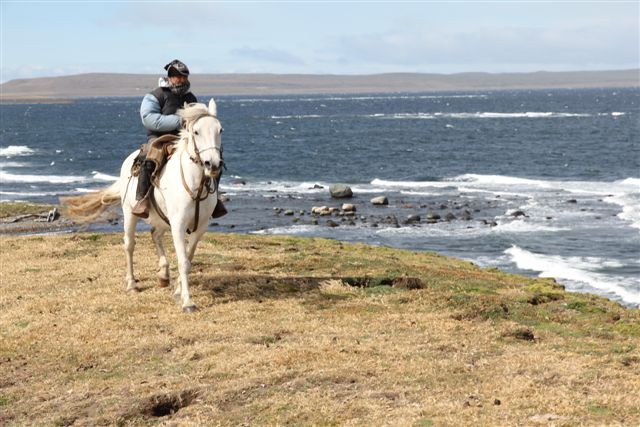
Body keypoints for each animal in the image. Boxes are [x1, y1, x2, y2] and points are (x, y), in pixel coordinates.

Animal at [60, 100, 222, 314]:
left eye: (220, 130)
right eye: (196, 132)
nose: (213, 164)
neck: (194, 184)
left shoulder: (200, 227)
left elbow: (188, 258)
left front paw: (178, 291)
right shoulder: (178, 225)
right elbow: (183, 261)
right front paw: (187, 302)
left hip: (161, 219)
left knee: (155, 235)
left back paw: (163, 274)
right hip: (130, 214)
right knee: (129, 245)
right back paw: (132, 284)